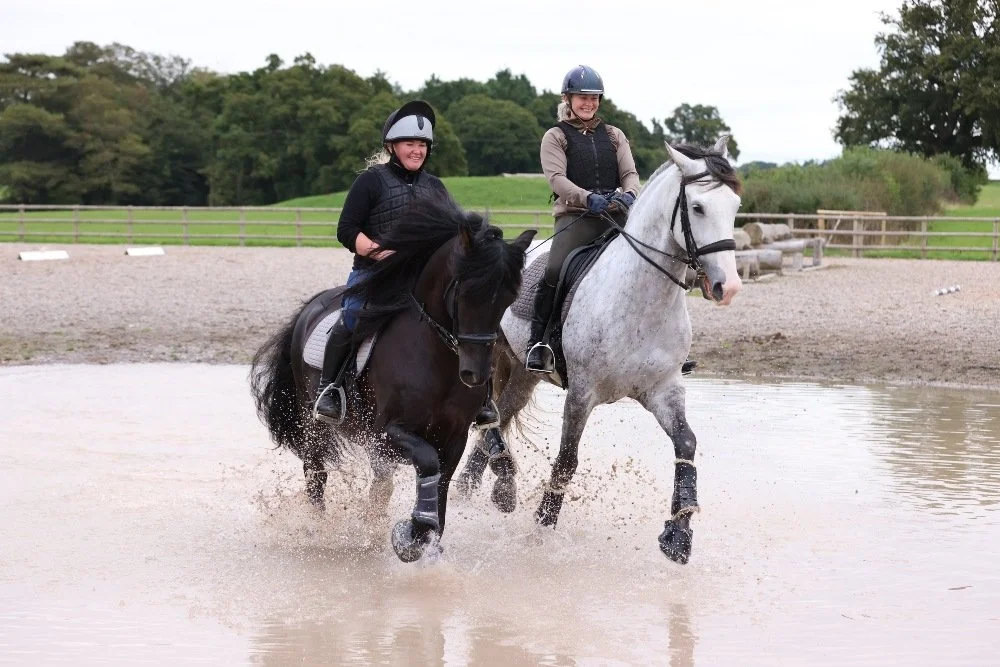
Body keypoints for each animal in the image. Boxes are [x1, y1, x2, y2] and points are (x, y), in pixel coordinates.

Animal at [250, 195, 536, 563]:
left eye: (509, 298)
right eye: (466, 292)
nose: (475, 374)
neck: (436, 358)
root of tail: (311, 307)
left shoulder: (454, 437)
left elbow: (441, 486)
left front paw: (428, 541)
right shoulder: (387, 433)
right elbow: (427, 463)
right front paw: (413, 533)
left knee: (378, 485)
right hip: (313, 424)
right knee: (317, 474)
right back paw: (318, 527)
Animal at [457, 138, 743, 564]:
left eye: (735, 206)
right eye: (697, 207)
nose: (728, 286)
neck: (641, 299)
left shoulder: (663, 390)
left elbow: (687, 444)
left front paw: (678, 534)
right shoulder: (581, 392)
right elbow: (566, 460)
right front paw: (543, 524)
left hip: (523, 374)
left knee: (502, 413)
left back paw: (488, 485)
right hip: (487, 357)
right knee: (488, 412)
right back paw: (499, 481)